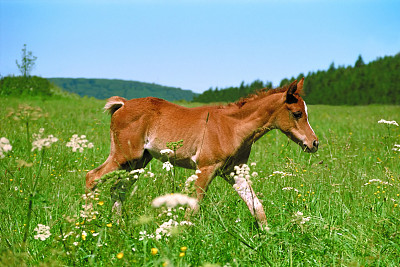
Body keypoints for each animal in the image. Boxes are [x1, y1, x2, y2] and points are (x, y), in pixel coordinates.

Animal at [87, 78, 318, 230]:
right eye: (297, 113)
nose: (314, 143)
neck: (232, 127)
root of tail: (123, 104)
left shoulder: (234, 172)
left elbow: (256, 206)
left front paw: (267, 238)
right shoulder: (206, 168)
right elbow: (193, 206)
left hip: (138, 162)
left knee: (118, 189)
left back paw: (116, 225)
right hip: (123, 156)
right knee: (92, 177)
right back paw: (87, 219)